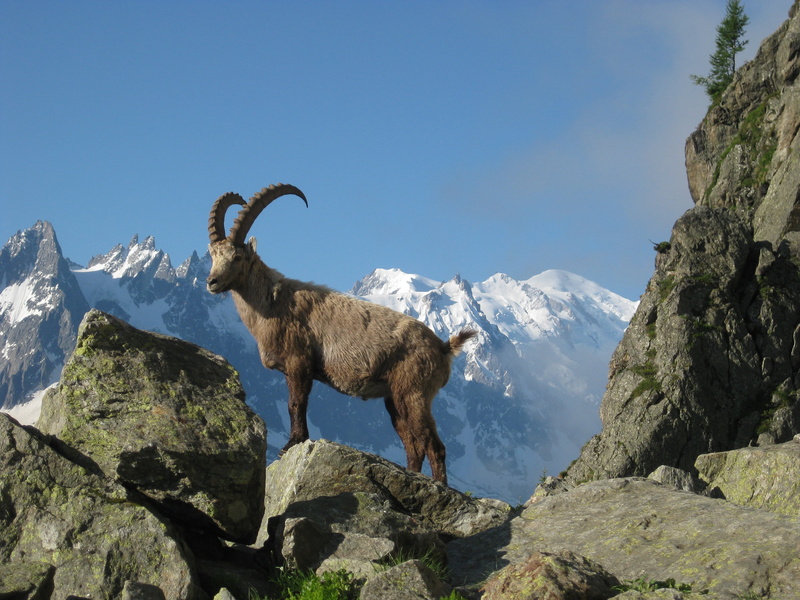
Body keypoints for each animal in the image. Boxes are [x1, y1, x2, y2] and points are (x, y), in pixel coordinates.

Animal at [205, 184, 476, 484]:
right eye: (213, 255)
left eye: (237, 257)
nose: (212, 282)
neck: (272, 303)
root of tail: (443, 347)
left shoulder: (299, 361)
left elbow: (296, 403)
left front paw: (293, 443)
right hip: (394, 399)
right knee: (413, 445)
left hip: (415, 392)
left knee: (434, 445)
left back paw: (438, 485)